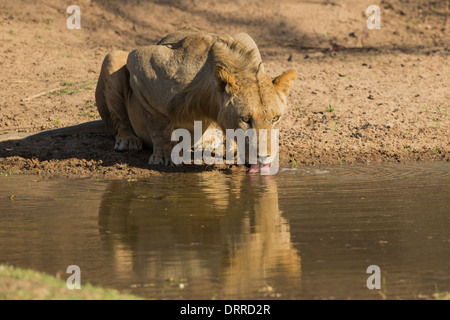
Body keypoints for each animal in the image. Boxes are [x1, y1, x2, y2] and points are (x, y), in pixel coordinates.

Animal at [95, 26, 298, 169]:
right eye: (245, 119)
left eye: (276, 118)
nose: (264, 157)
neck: (209, 101)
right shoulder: (141, 64)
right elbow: (157, 125)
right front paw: (162, 157)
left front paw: (234, 152)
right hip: (114, 57)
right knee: (119, 119)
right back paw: (127, 139)